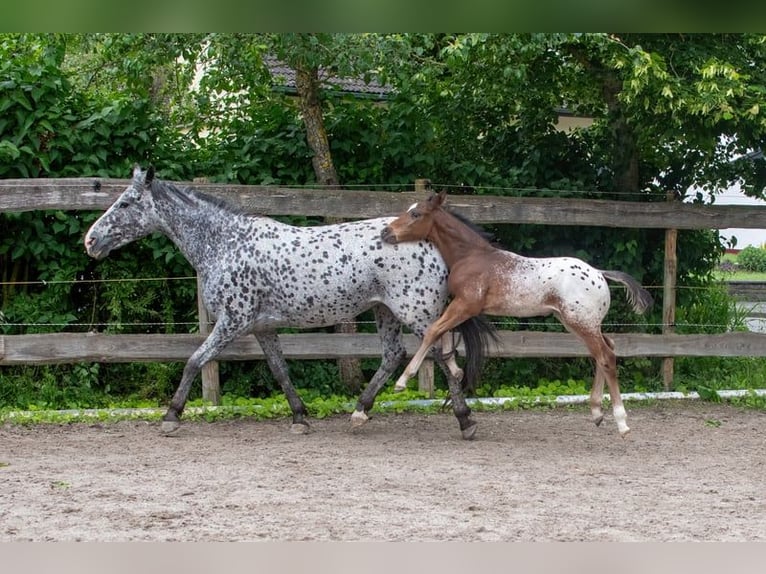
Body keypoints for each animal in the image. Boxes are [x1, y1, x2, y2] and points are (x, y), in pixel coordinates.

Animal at [84, 165, 496, 439]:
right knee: (394, 355)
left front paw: (171, 416)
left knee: (439, 355)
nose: (91, 241)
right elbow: (280, 371)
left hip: (415, 311)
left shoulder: (232, 322)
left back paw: (465, 421)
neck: (225, 243)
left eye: (126, 203)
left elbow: (193, 361)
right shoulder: (262, 327)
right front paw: (300, 418)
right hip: (385, 310)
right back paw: (359, 413)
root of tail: (432, 241)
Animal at [380, 190, 654, 437]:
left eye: (415, 214)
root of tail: (599, 273)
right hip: (579, 323)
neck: (471, 256)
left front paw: (402, 381)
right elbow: (443, 332)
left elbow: (433, 330)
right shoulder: (461, 307)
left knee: (606, 357)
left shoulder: (466, 304)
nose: (386, 233)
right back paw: (597, 413)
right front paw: (456, 370)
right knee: (604, 350)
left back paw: (622, 423)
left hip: (581, 323)